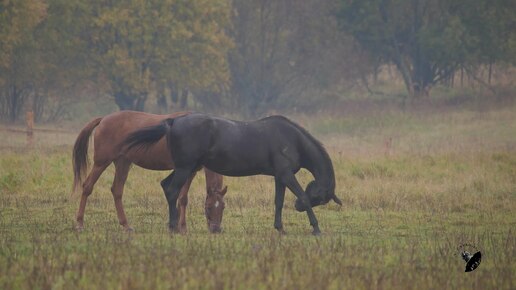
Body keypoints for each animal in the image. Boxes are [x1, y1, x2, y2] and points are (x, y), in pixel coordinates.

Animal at [71, 110, 227, 233]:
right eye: (208, 207)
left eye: (223, 207)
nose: (216, 229)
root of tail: (103, 119)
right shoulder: (186, 170)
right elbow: (183, 198)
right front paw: (182, 227)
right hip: (101, 162)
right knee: (87, 187)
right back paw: (79, 224)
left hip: (123, 162)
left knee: (117, 191)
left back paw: (126, 225)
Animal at [124, 113, 342, 236]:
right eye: (320, 198)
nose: (297, 208)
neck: (291, 139)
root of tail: (173, 121)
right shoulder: (287, 175)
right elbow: (303, 196)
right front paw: (316, 228)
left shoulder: (280, 177)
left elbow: (278, 202)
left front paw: (280, 228)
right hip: (185, 168)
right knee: (172, 190)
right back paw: (173, 227)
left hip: (186, 167)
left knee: (165, 185)